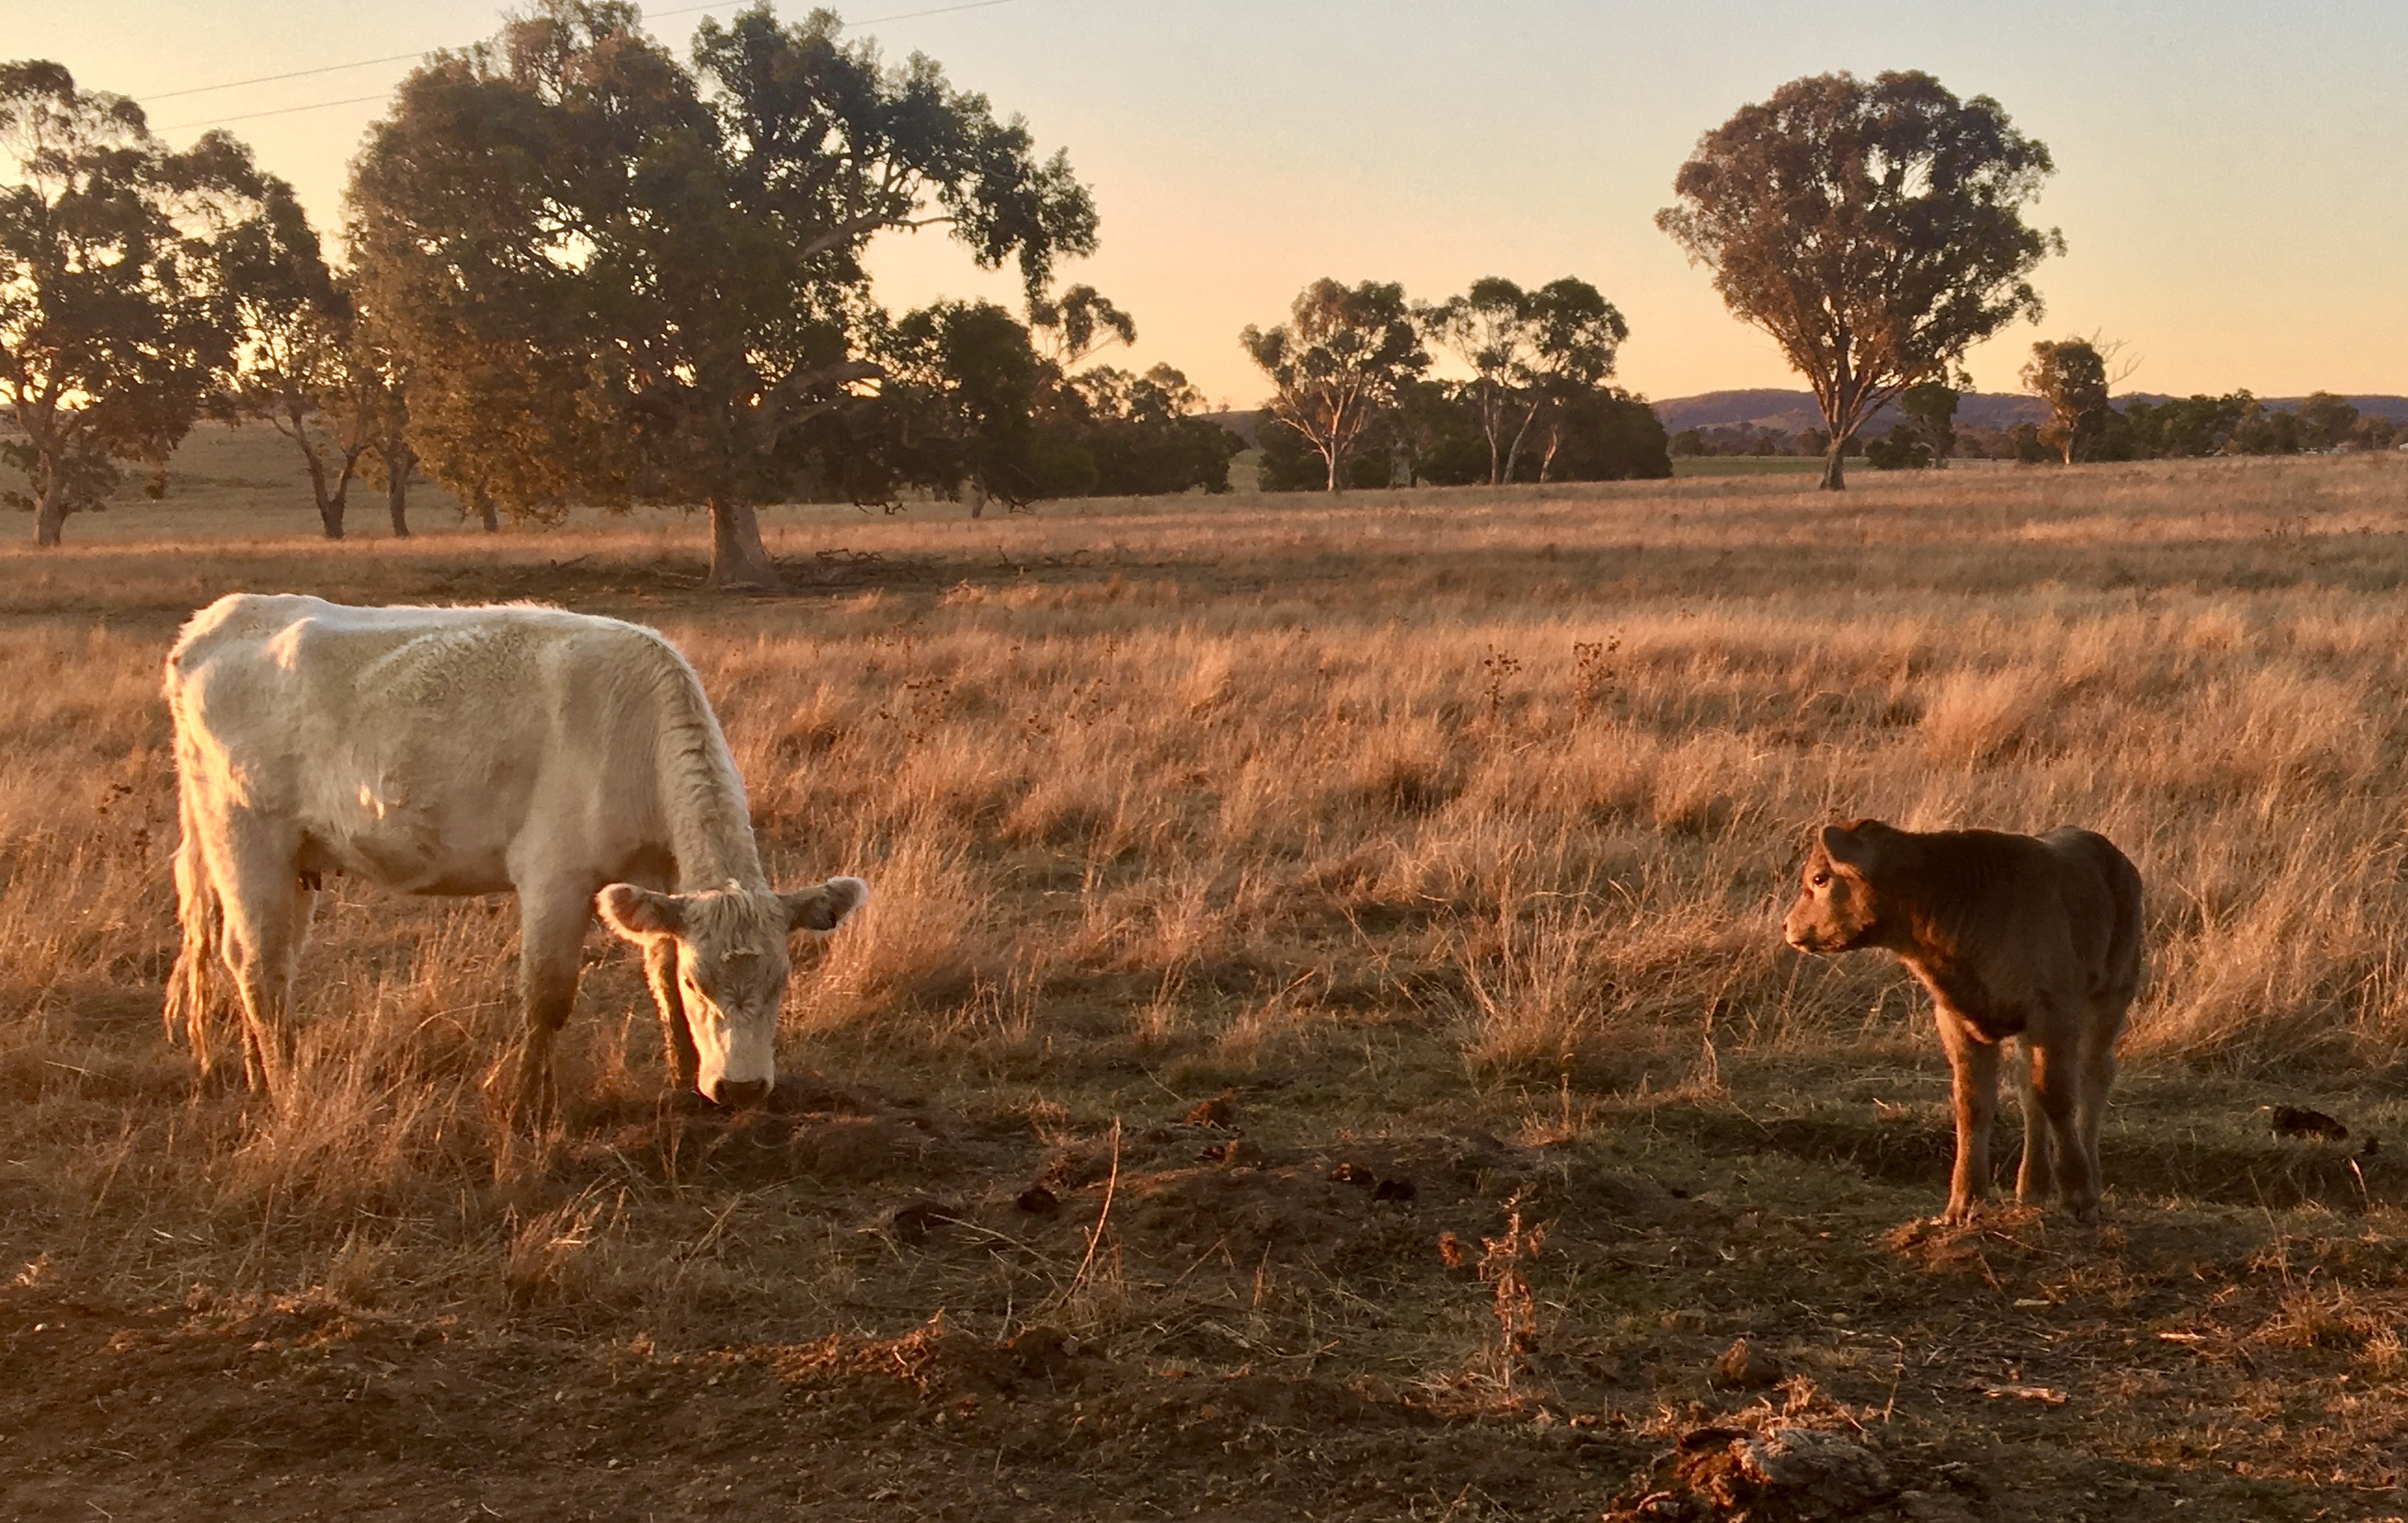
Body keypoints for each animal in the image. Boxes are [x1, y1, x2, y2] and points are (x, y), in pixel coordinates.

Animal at [162, 593, 866, 1110]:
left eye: (783, 979)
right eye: (704, 982)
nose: (741, 1089)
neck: (637, 734)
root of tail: (216, 619)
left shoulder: (659, 878)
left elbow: (657, 971)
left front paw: (681, 1072)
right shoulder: (555, 873)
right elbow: (549, 993)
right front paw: (528, 1100)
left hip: (294, 859)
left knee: (263, 957)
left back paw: (260, 1070)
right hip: (245, 836)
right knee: (257, 963)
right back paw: (287, 1086)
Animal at [1782, 820, 2143, 1224]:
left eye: (1819, 879)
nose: (1787, 926)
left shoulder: (2054, 1013)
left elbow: (2059, 1097)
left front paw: (2079, 1196)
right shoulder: (1957, 1020)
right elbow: (1973, 1104)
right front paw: (1964, 1202)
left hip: (2112, 996)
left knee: (2093, 1079)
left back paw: (2091, 1179)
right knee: (2028, 1088)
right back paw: (2032, 1186)